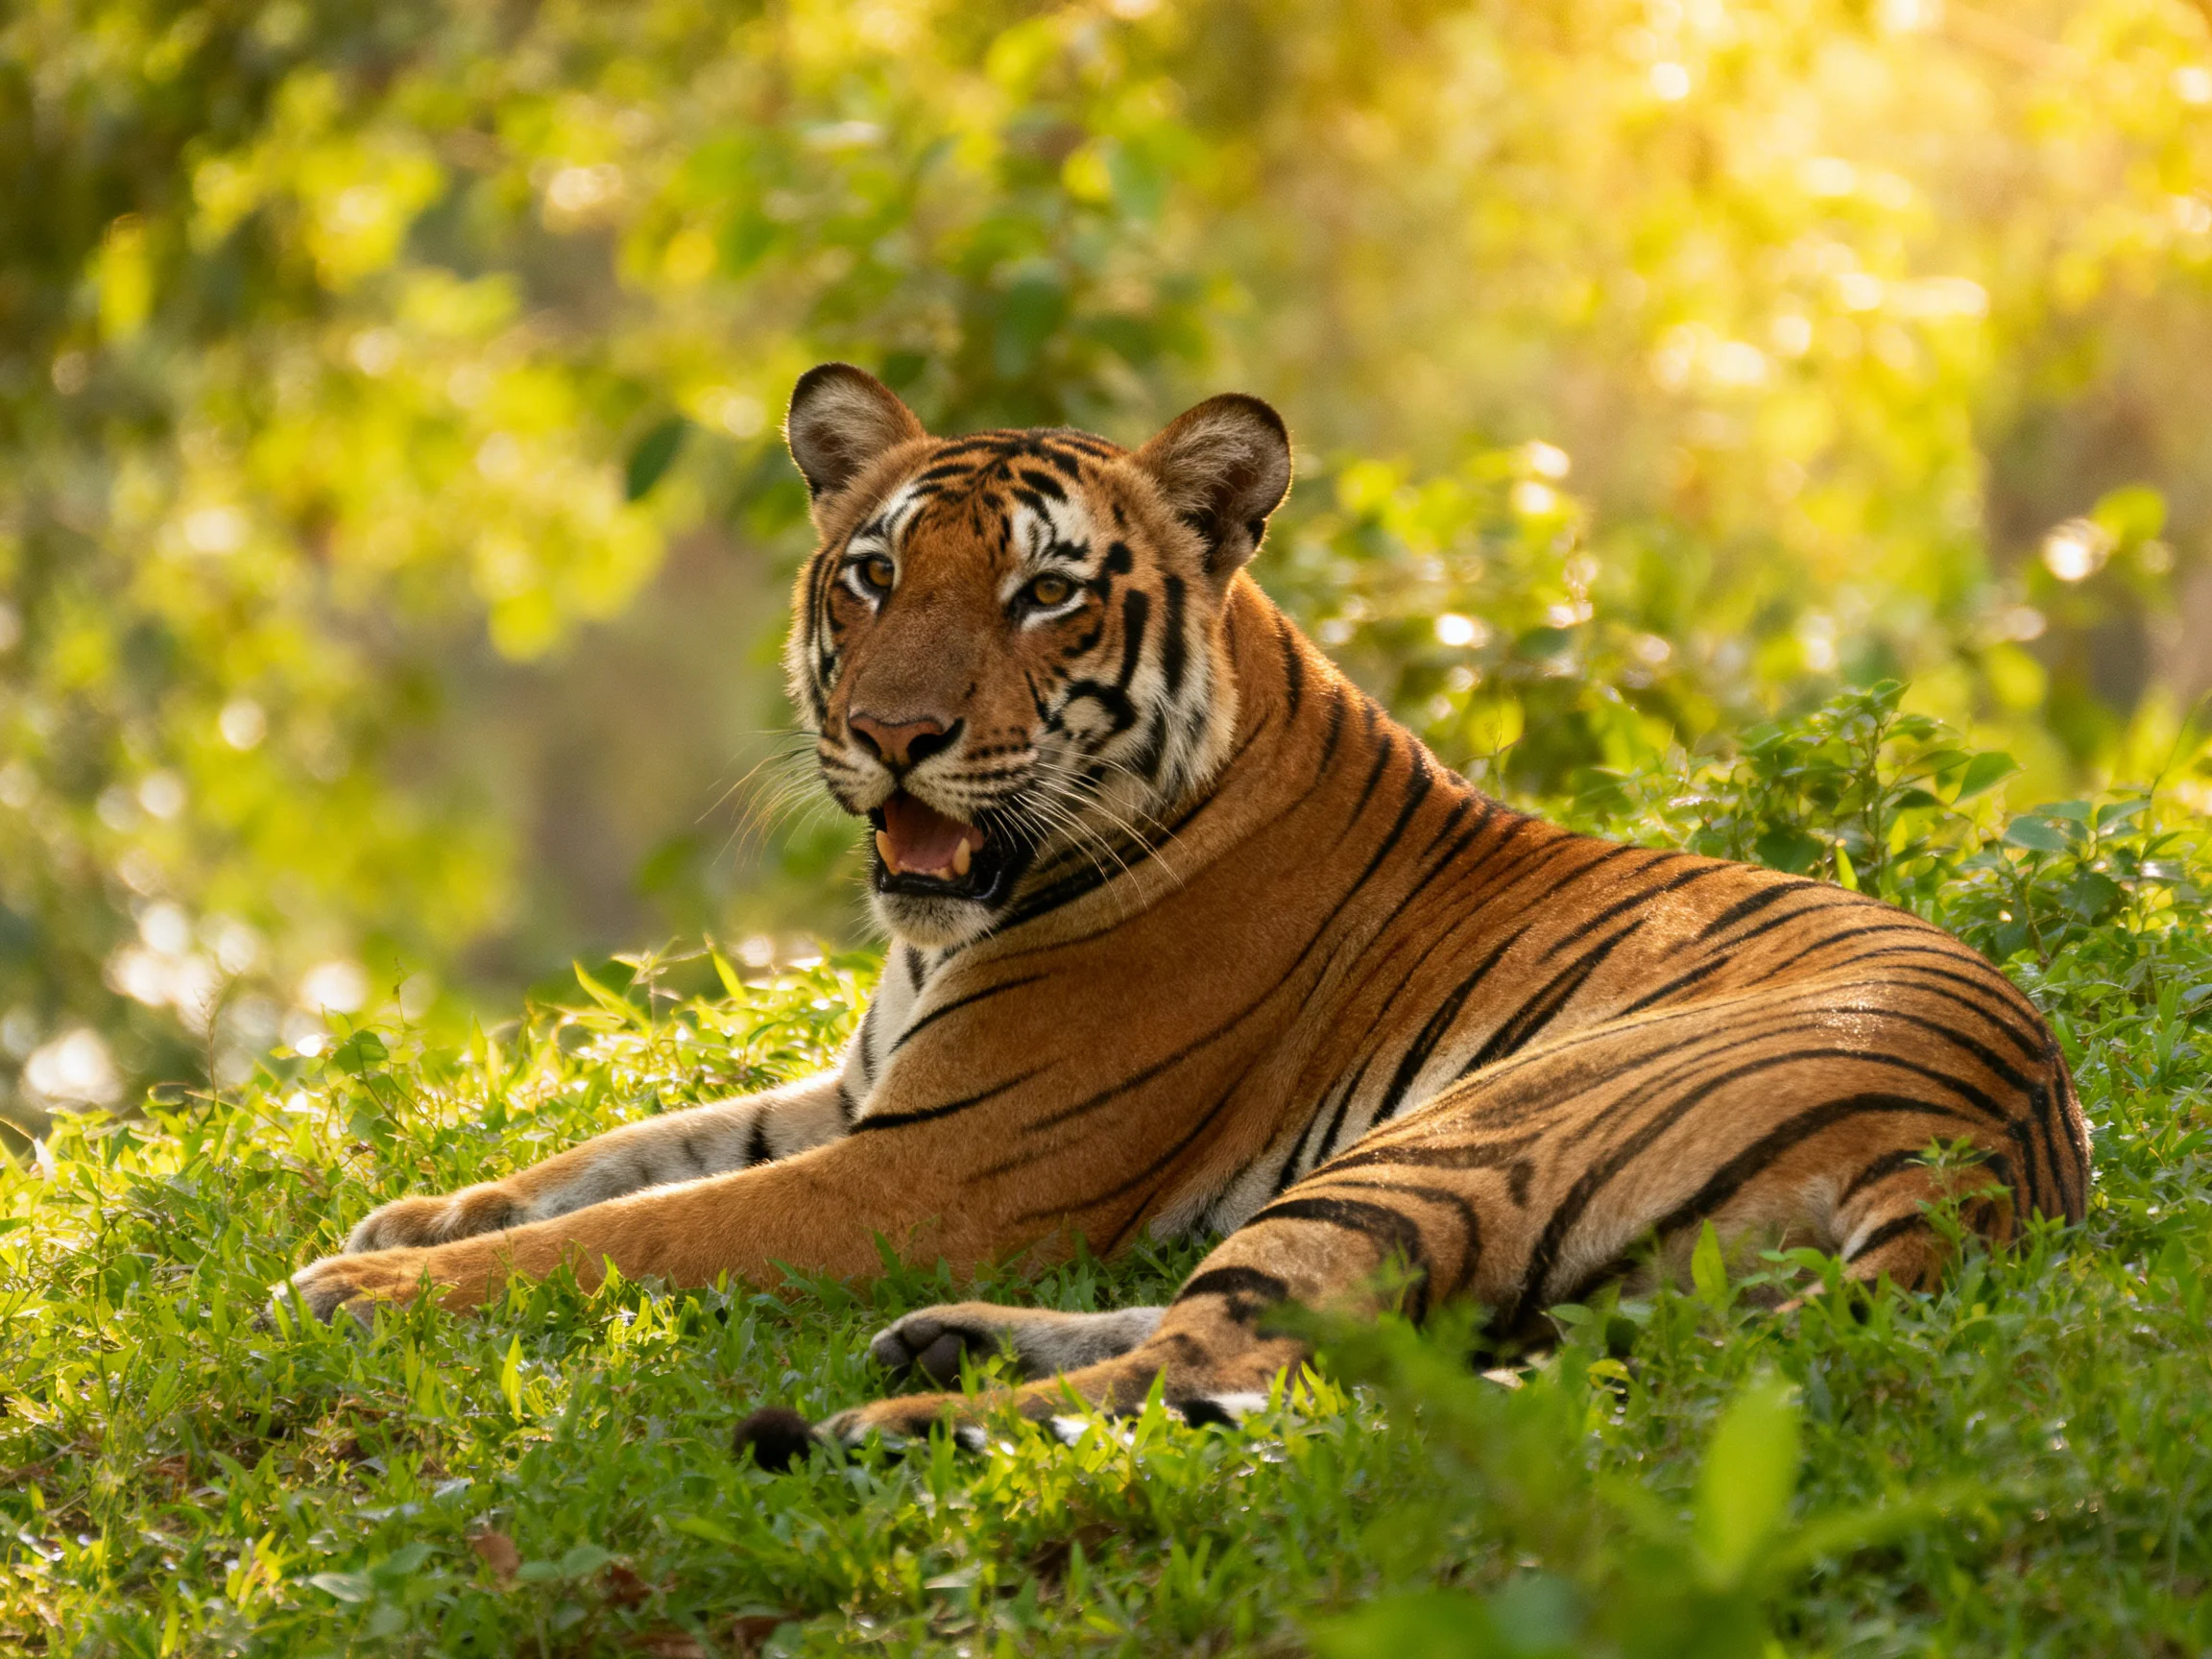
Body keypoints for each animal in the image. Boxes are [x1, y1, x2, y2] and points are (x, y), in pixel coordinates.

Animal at [279, 362, 2092, 1462]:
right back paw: (931, 1349)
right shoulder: (860, 1095)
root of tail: (1990, 1148)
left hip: (1460, 1134)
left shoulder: (931, 1163)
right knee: (1279, 1334)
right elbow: (614, 1155)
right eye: (873, 574)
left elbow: (638, 1228)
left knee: (1226, 1365)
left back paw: (890, 1425)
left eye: (1044, 593)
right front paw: (409, 1221)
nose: (890, 733)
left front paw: (359, 1294)